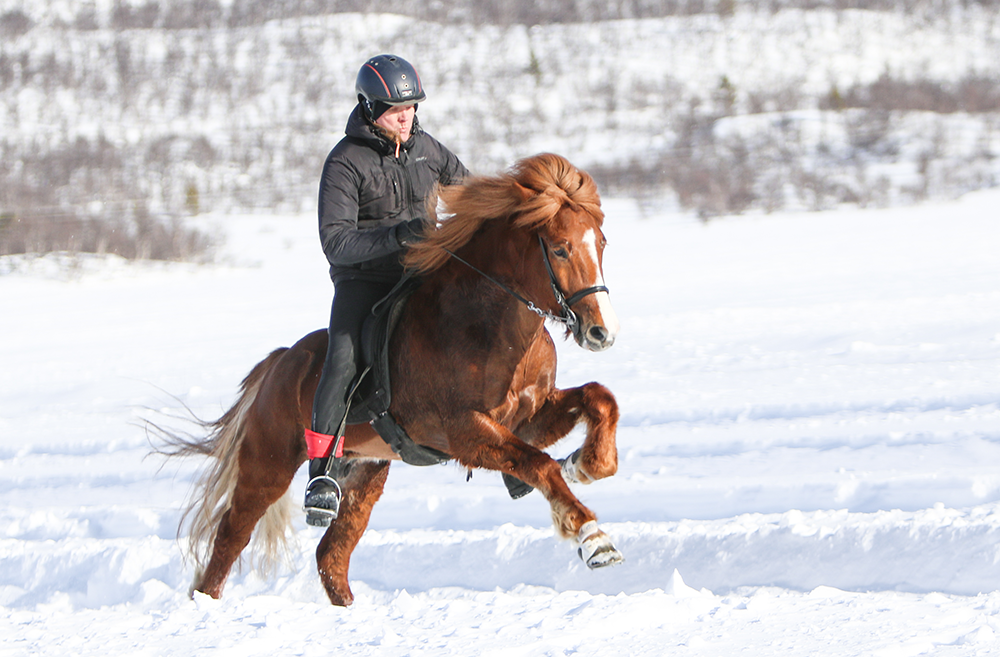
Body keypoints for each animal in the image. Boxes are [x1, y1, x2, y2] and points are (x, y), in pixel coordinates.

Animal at [168, 152, 620, 604]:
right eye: (559, 248)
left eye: (601, 242)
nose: (602, 332)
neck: (488, 327)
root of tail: (280, 363)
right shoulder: (464, 432)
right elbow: (539, 464)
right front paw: (592, 537)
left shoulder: (528, 416)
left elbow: (599, 400)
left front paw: (585, 464)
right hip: (269, 465)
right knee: (231, 537)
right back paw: (208, 602)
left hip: (366, 472)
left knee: (331, 555)